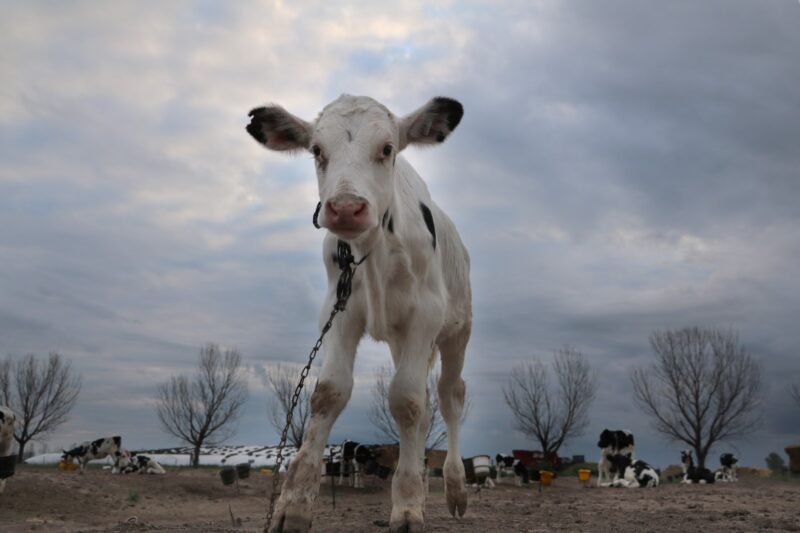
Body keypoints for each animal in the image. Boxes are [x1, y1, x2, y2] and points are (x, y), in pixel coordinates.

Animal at [248, 95, 468, 532]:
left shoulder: (425, 316)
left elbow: (406, 402)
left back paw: (454, 488)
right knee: (425, 406)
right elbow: (329, 393)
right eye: (317, 150)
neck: (374, 249)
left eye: (387, 148)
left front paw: (406, 508)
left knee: (449, 397)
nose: (346, 208)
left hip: (457, 332)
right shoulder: (339, 311)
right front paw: (293, 505)